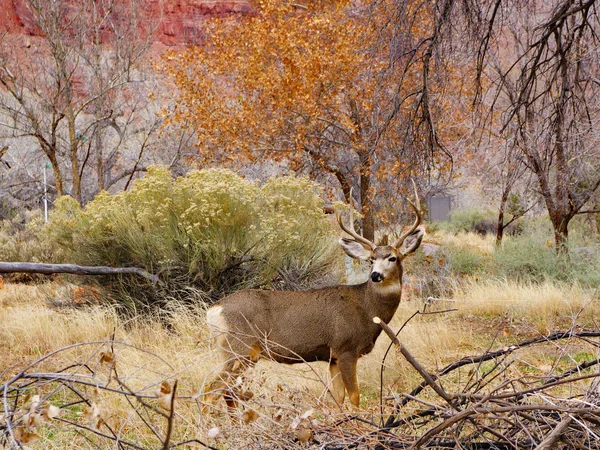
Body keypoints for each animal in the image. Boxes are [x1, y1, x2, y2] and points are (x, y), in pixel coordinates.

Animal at [204, 185, 424, 410]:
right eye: (371, 259)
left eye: (392, 258)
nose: (375, 275)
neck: (366, 307)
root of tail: (214, 310)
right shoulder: (346, 349)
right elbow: (355, 397)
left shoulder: (332, 357)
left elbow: (338, 397)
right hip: (238, 349)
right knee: (211, 390)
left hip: (238, 354)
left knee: (228, 393)